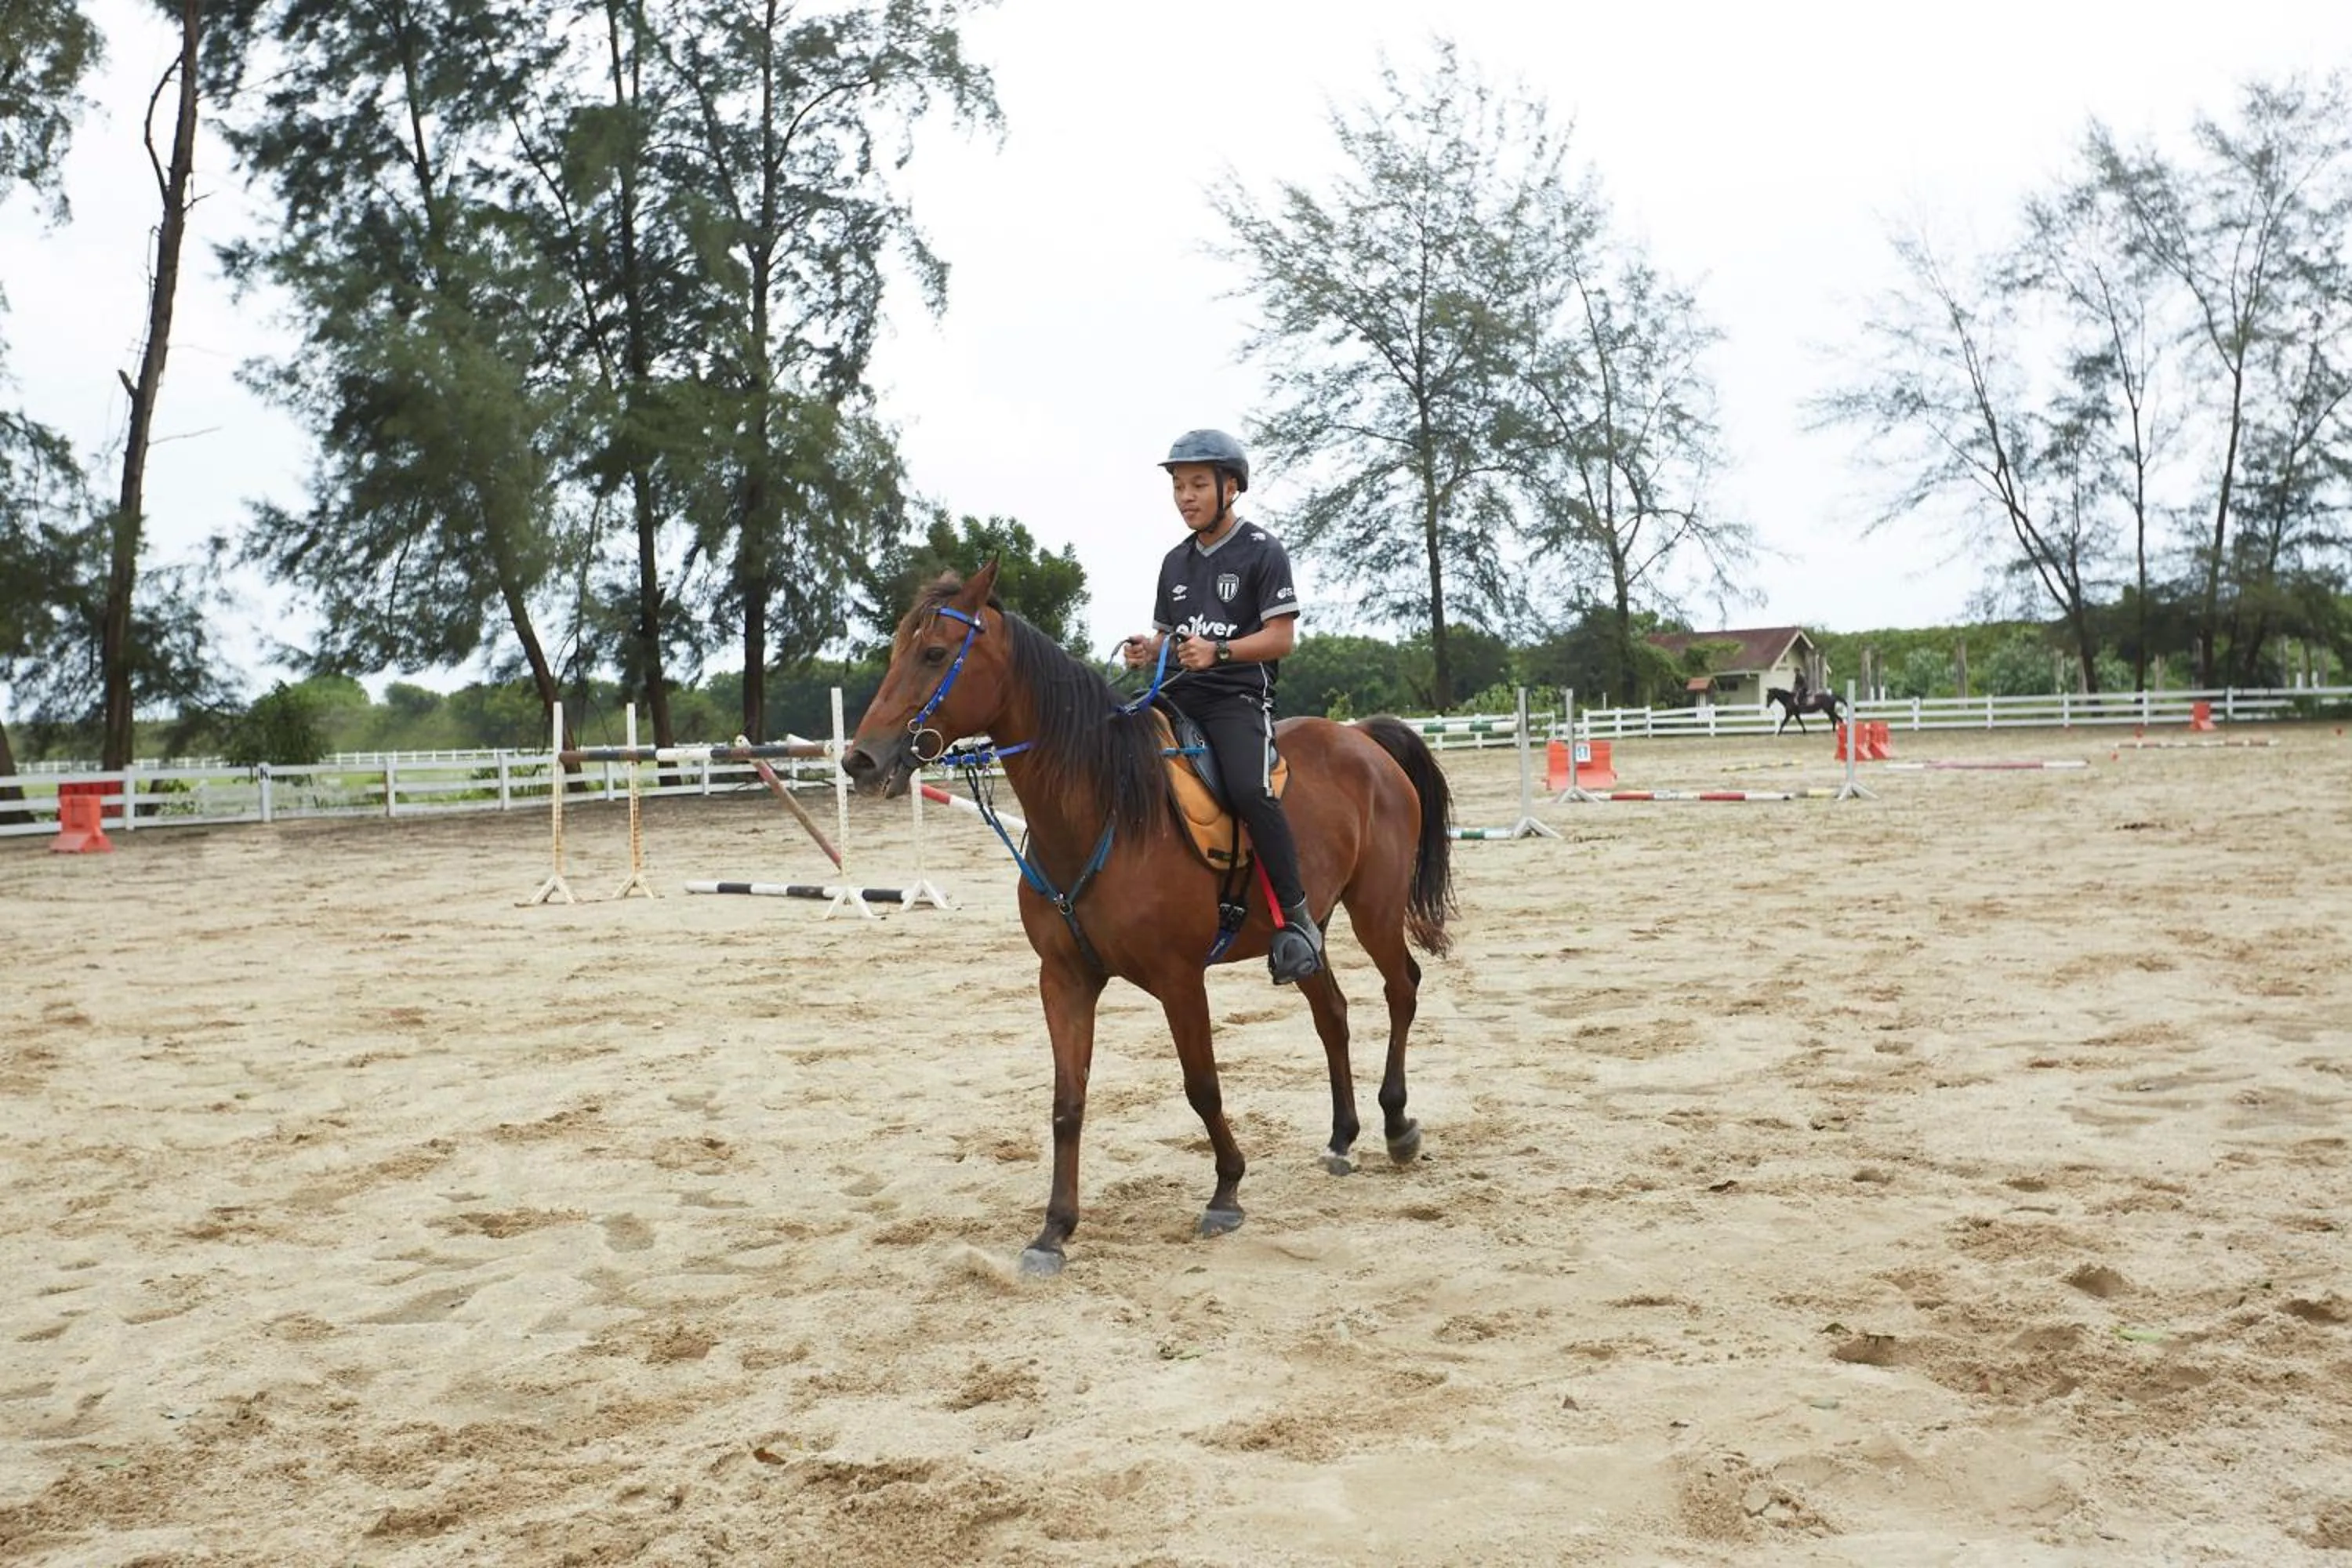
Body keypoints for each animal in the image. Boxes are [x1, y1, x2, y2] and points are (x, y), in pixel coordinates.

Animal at [842, 561, 1457, 1277]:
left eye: (936, 654)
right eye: (896, 651)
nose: (860, 760)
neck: (1103, 810)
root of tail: (1360, 737)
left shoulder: (1179, 979)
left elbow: (1202, 1086)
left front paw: (1226, 1191)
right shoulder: (1064, 979)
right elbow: (1068, 1102)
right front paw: (1054, 1229)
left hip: (1375, 910)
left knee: (1402, 990)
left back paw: (1397, 1126)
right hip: (1308, 931)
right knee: (1331, 1013)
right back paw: (1341, 1138)